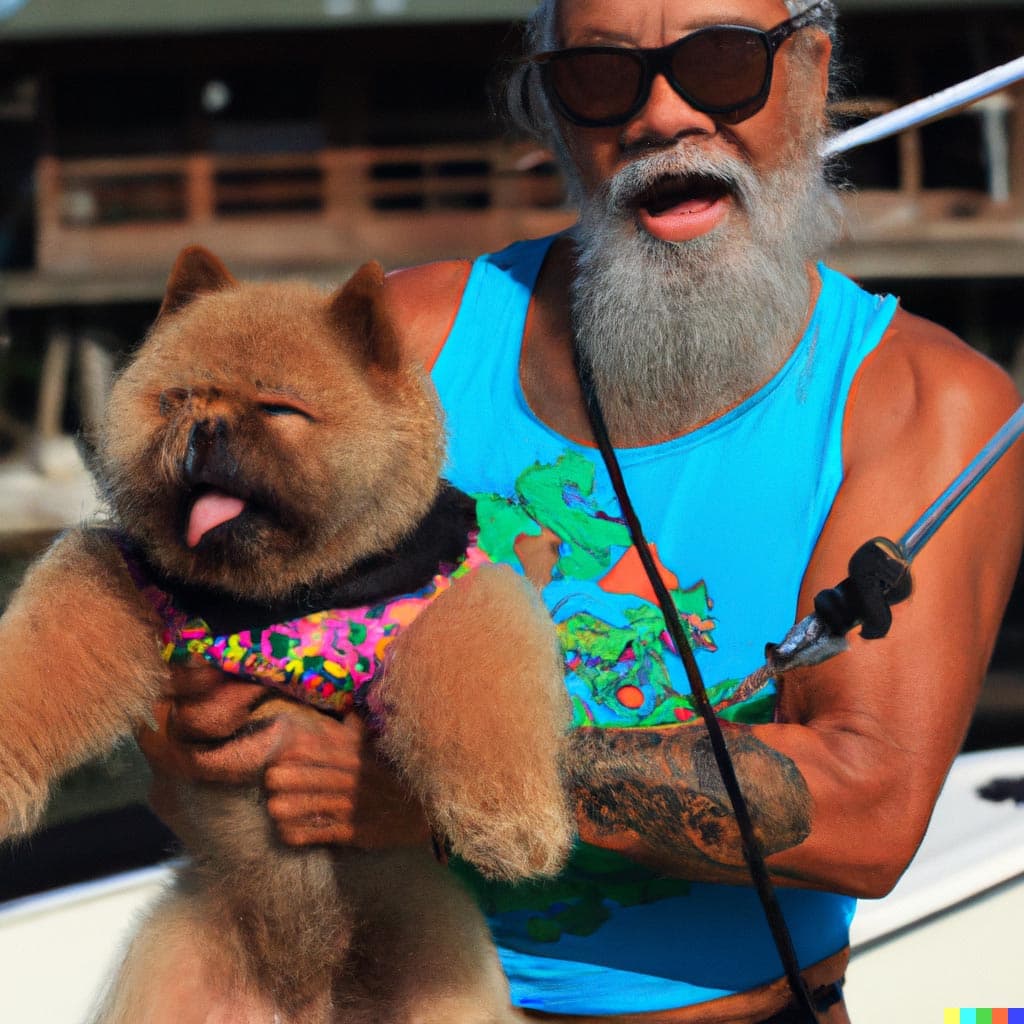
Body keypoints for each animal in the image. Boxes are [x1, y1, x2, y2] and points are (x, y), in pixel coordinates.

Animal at [0, 247, 577, 1024]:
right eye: (179, 398)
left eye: (277, 408)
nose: (207, 426)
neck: (283, 601)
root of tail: (306, 991)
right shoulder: (117, 579)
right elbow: (44, 652)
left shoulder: (447, 592)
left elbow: (475, 664)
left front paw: (513, 822)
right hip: (179, 977)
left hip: (437, 979)